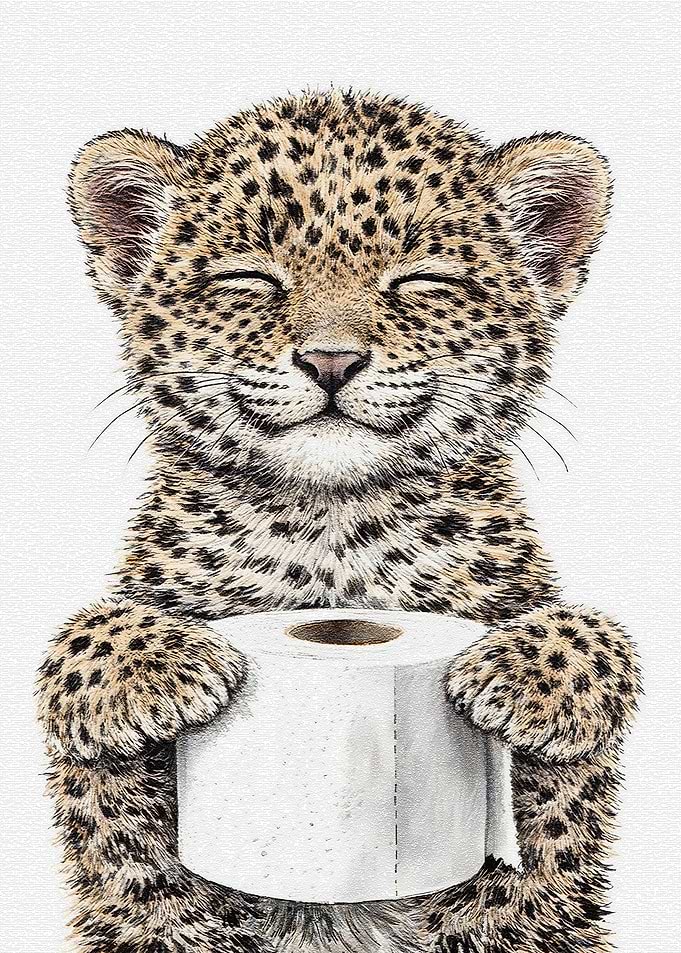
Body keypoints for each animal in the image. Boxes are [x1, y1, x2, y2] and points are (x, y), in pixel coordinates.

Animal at [37, 89, 641, 953]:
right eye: (249, 278)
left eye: (421, 281)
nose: (331, 360)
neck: (334, 530)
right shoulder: (135, 854)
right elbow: (91, 660)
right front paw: (135, 677)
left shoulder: (547, 853)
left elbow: (587, 647)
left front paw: (533, 682)